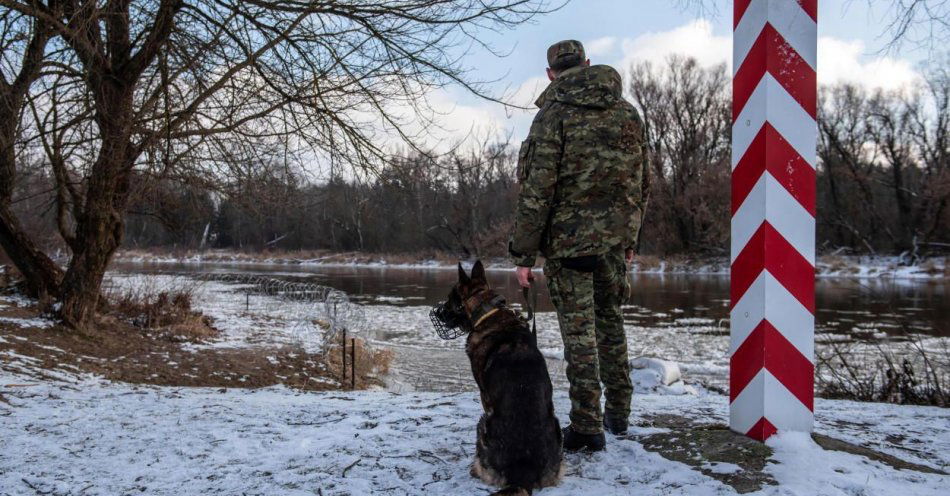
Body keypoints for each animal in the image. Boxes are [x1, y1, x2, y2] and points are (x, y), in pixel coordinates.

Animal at [434, 262, 564, 494]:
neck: (489, 312)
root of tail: (522, 470)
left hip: (482, 424)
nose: (438, 314)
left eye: (450, 298)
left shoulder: (484, 396)